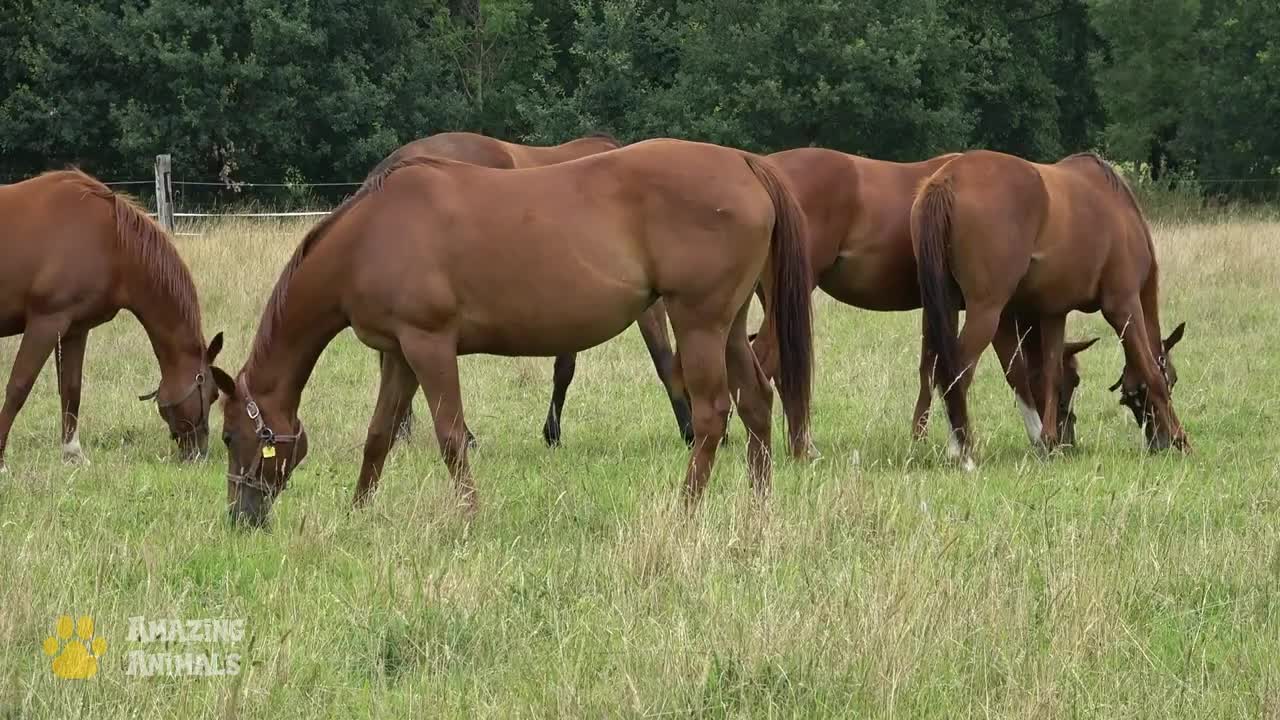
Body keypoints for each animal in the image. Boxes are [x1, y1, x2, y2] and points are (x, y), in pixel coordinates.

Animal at [0, 166, 225, 466]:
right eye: (212, 394)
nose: (199, 454)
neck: (112, 243)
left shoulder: (74, 329)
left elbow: (71, 390)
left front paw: (73, 454)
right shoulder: (46, 323)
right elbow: (18, 388)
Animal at [747, 148, 1100, 453]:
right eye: (1074, 379)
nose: (1069, 439)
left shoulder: (939, 309)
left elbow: (929, 366)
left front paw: (918, 436)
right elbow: (1001, 370)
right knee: (764, 356)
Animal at [911, 149, 1187, 466]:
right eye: (1172, 380)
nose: (1158, 442)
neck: (1121, 212)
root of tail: (946, 180)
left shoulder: (1054, 312)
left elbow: (1051, 374)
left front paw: (1049, 441)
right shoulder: (1123, 305)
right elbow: (1150, 370)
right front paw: (1182, 438)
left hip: (942, 308)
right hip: (985, 312)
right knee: (956, 373)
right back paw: (963, 451)